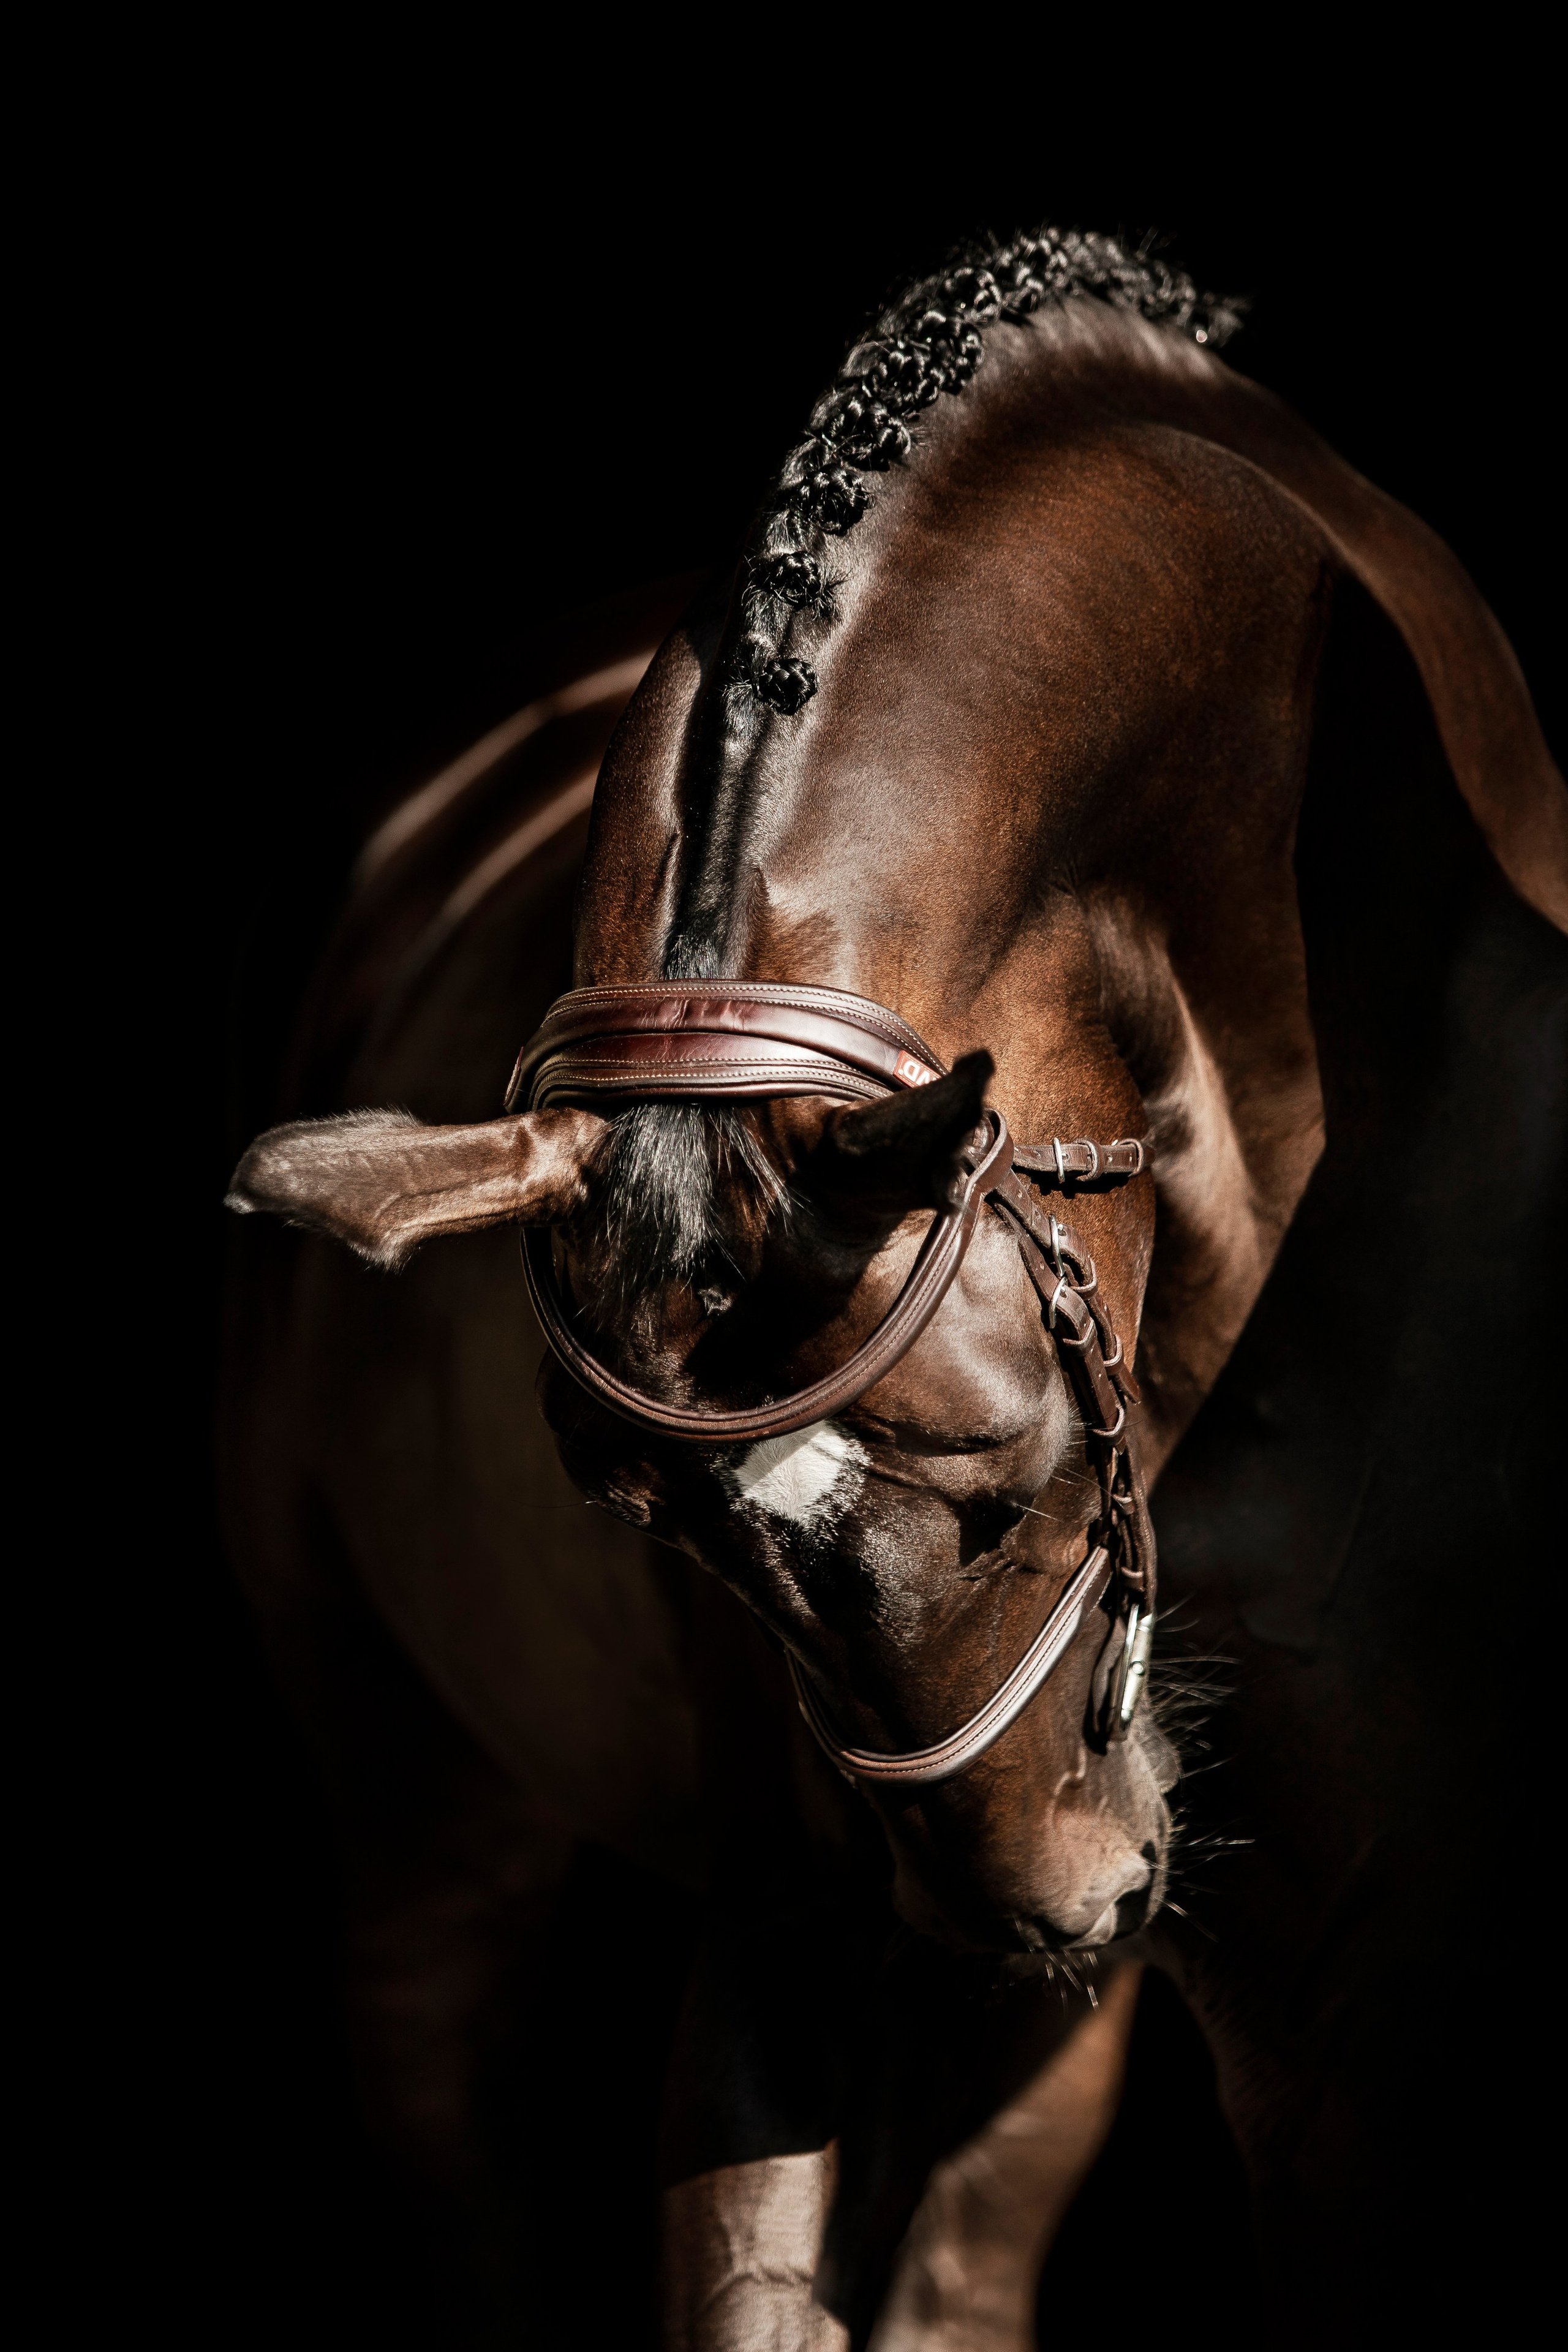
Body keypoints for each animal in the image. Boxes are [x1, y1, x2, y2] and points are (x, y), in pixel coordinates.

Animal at [225, 226, 1565, 2345]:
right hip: (415, 1775)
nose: (1053, 1907)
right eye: (667, 1544)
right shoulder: (799, 1915)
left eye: (1015, 1487)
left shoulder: (1363, 1989)